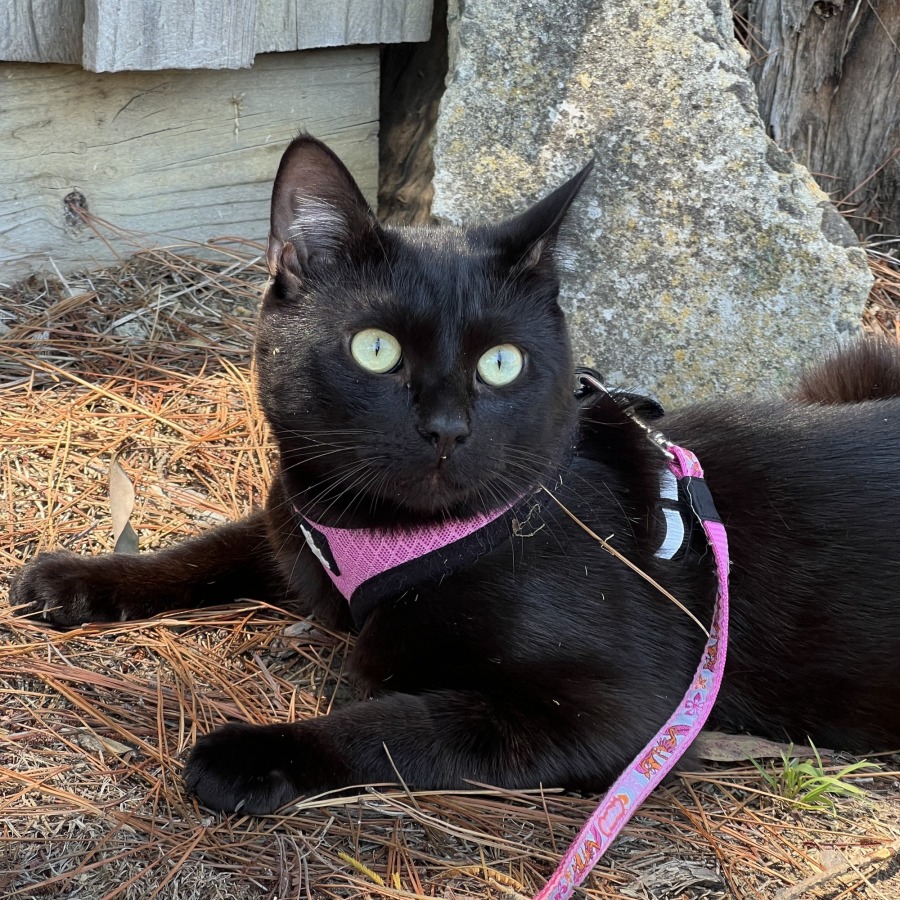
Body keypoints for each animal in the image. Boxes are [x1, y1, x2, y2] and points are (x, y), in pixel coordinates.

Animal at [10, 135, 900, 816]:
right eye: (376, 349)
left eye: (502, 363)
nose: (446, 428)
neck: (371, 532)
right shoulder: (295, 529)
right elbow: (207, 549)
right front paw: (78, 578)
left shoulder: (625, 712)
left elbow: (400, 723)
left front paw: (255, 752)